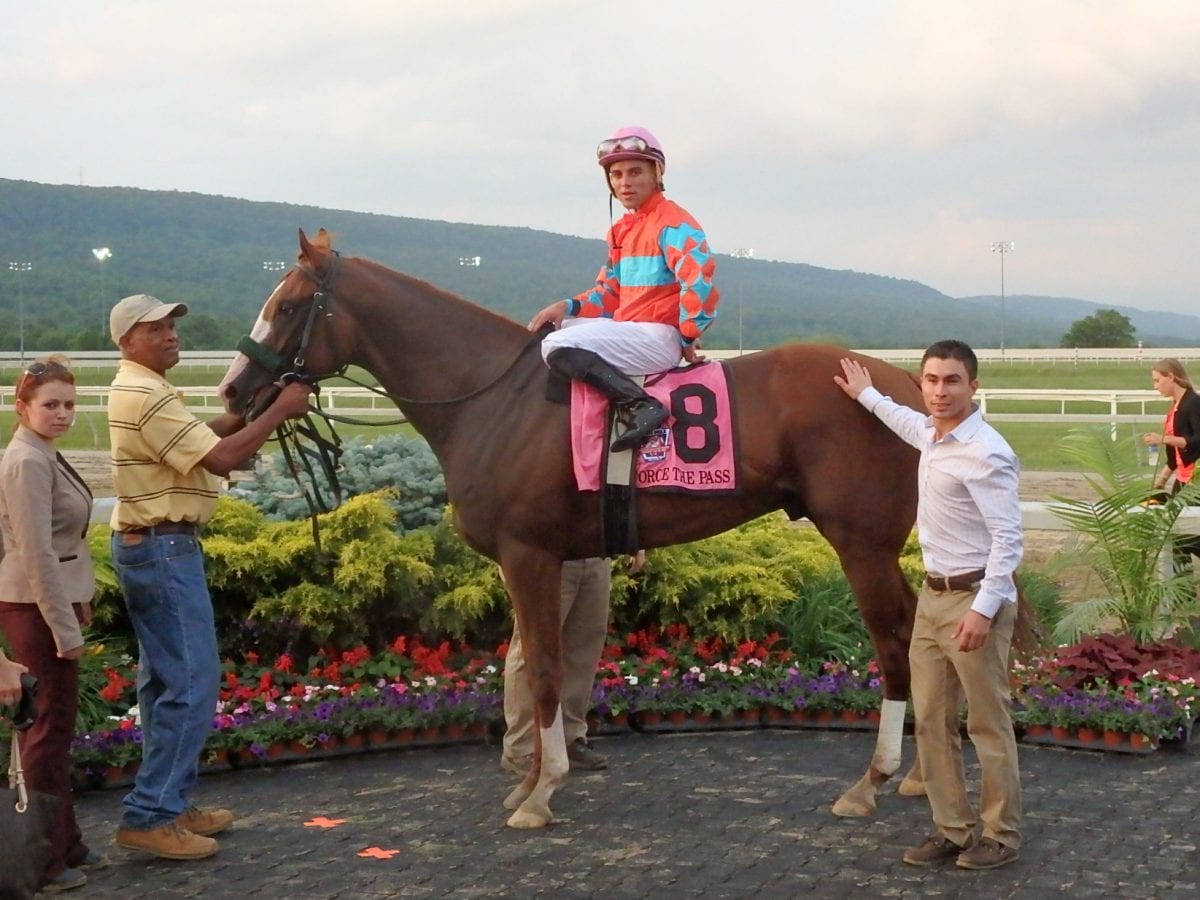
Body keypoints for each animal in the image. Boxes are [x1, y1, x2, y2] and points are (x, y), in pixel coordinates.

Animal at [220, 230, 921, 830]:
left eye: (286, 307)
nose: (231, 392)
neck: (494, 398)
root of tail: (904, 381)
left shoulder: (527, 554)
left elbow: (545, 671)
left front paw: (541, 792)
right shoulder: (539, 561)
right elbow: (537, 666)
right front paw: (530, 781)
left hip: (862, 543)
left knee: (894, 643)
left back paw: (872, 781)